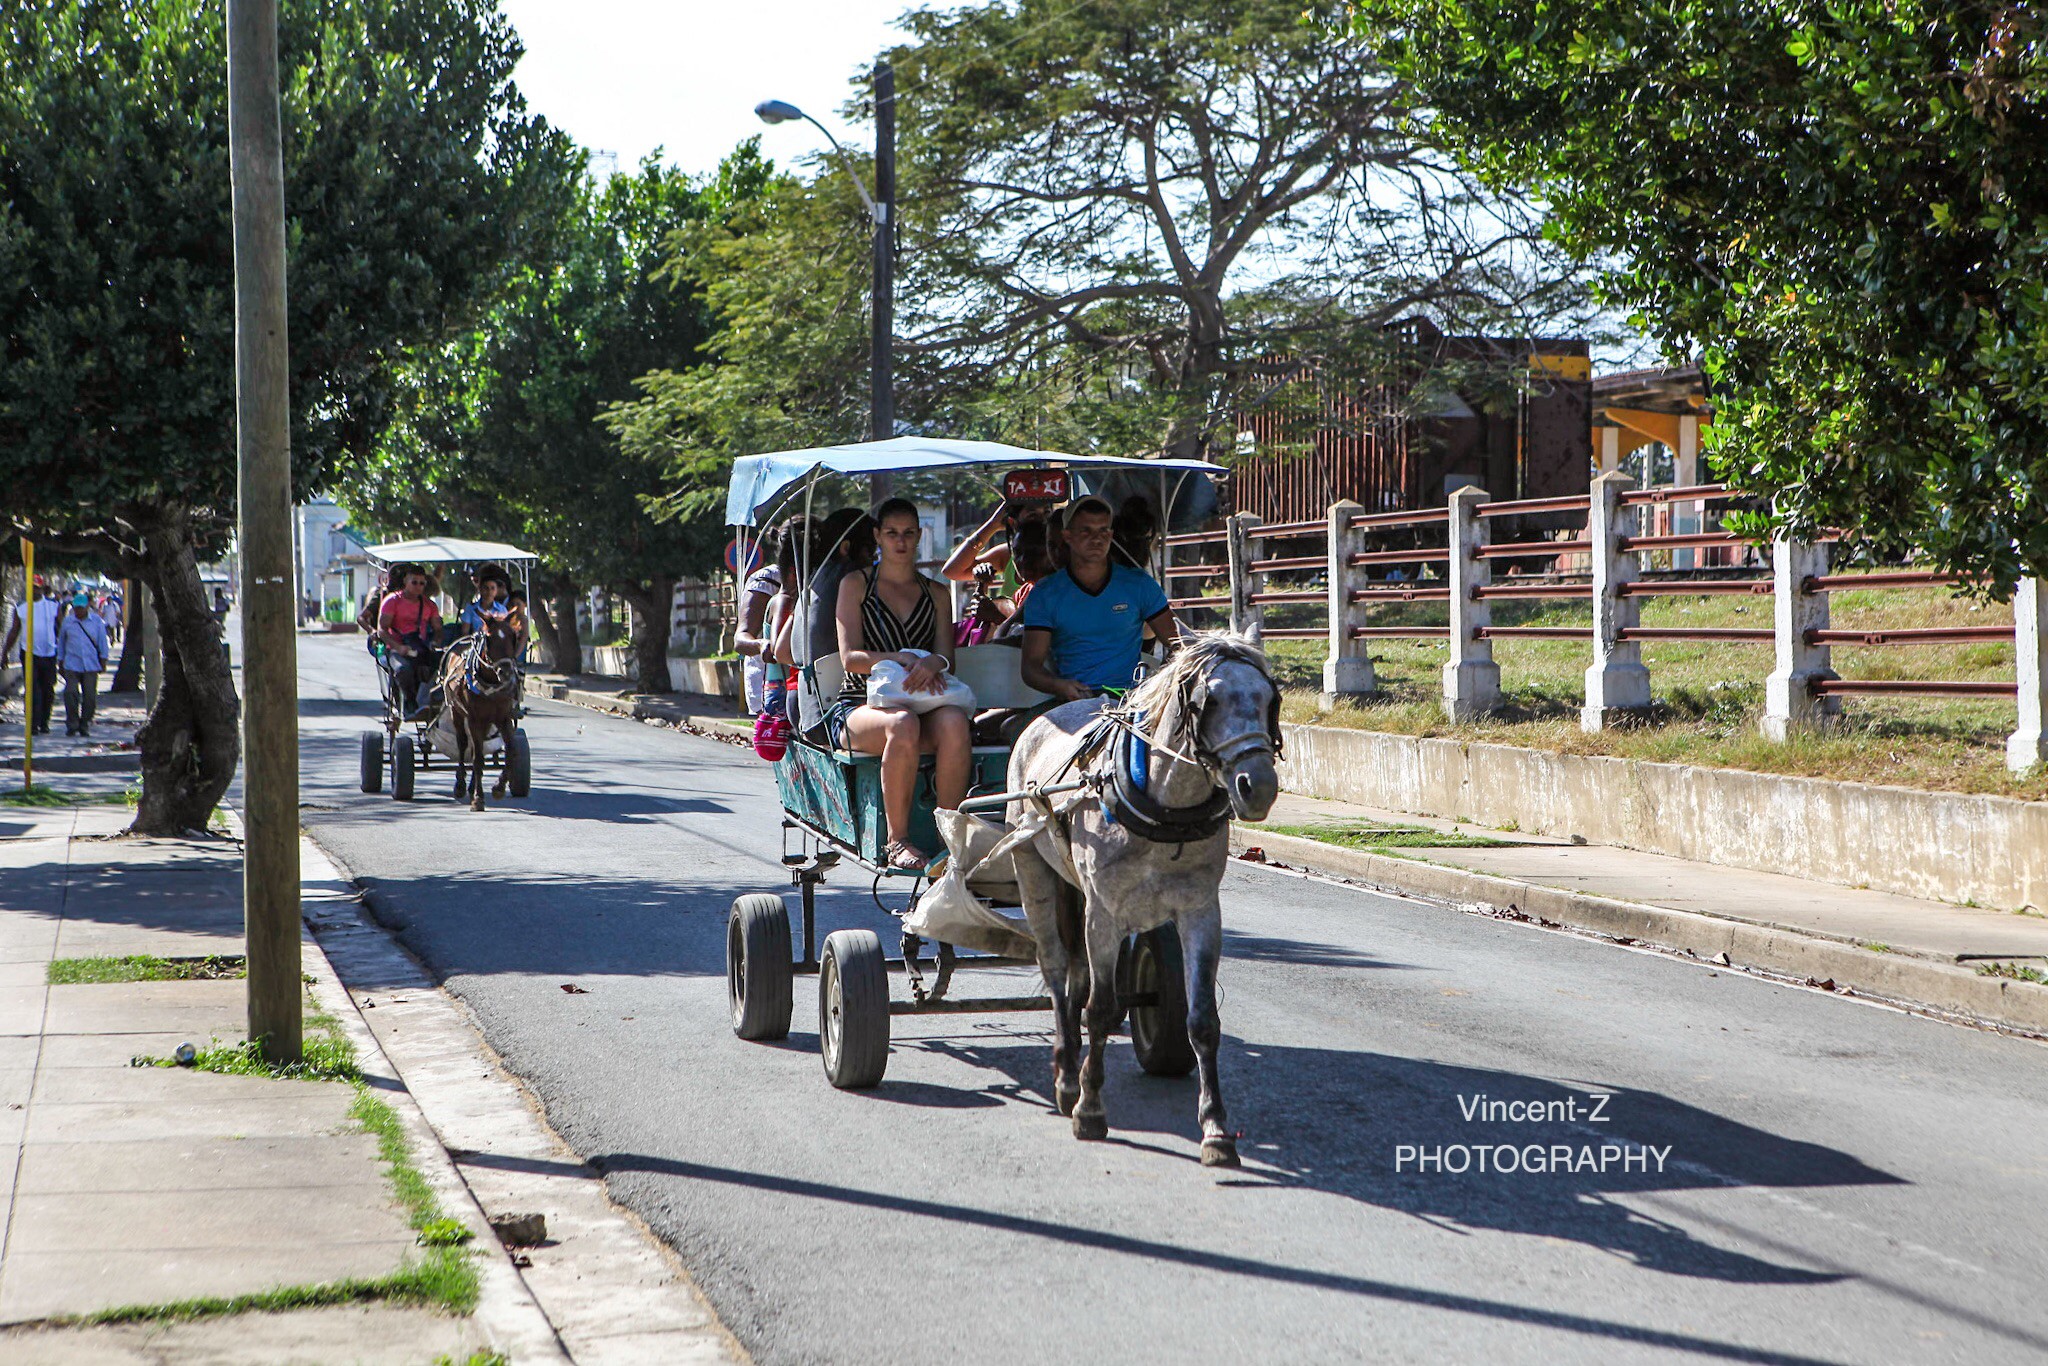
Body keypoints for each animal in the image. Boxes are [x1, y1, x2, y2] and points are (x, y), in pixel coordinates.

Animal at [440, 610, 524, 810]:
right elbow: (478, 758)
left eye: (513, 636)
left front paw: (499, 787)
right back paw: (461, 785)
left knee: (474, 747)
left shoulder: (503, 718)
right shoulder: (474, 719)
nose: (506, 673)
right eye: (489, 638)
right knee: (463, 744)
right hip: (457, 712)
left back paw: (471, 787)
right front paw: (478, 798)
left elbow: (511, 751)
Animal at [1007, 634, 1277, 1171]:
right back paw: (1067, 1077)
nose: (1257, 787)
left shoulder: (1200, 913)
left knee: (1075, 974)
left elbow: (1202, 1021)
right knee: (1056, 969)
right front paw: (1090, 1109)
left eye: (1268, 698)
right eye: (1210, 701)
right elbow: (1099, 1008)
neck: (1163, 806)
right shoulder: (1104, 914)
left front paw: (1216, 1130)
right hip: (1033, 871)